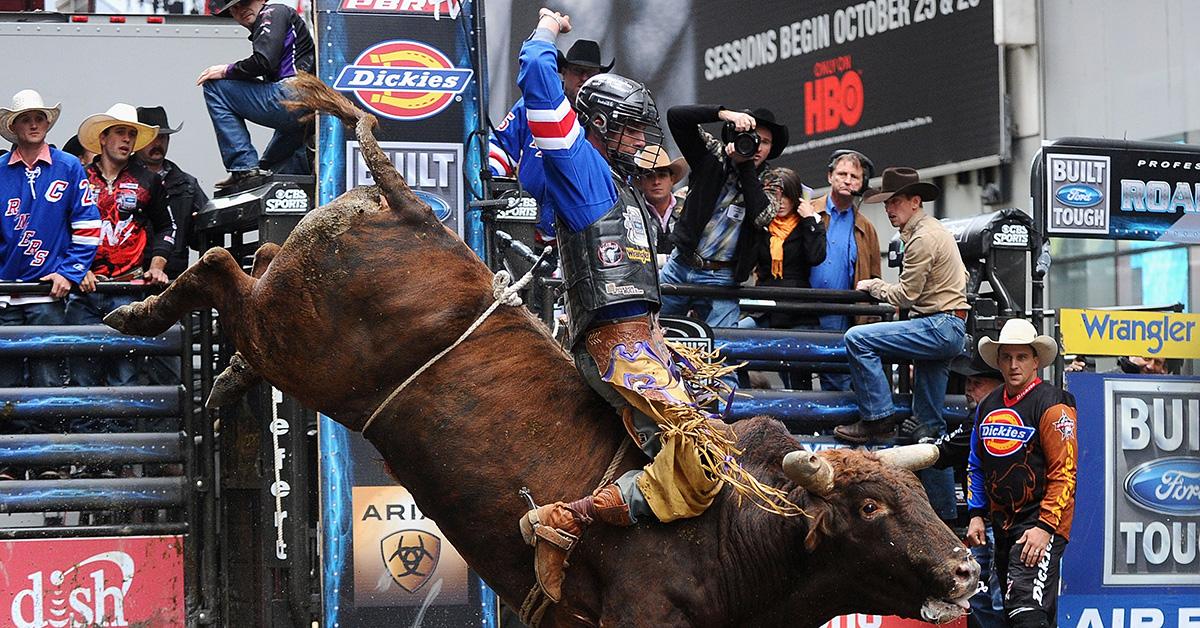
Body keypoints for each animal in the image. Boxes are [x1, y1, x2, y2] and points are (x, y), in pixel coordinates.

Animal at [103, 76, 974, 624]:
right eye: (870, 507)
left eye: (922, 499)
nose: (967, 568)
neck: (740, 523)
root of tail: (404, 203)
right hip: (301, 345)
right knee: (220, 271)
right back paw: (141, 313)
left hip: (292, 322)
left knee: (249, 269)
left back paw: (220, 379)